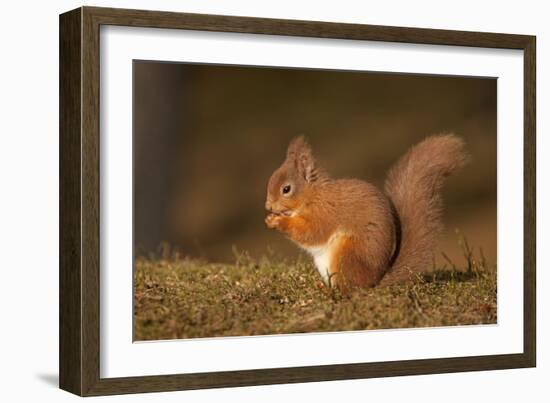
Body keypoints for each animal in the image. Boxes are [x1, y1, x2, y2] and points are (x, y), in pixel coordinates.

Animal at [266, 136, 468, 294]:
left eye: (286, 189)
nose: (268, 206)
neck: (313, 195)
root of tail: (374, 282)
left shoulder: (326, 212)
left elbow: (312, 233)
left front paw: (278, 221)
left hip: (347, 254)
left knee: (350, 289)